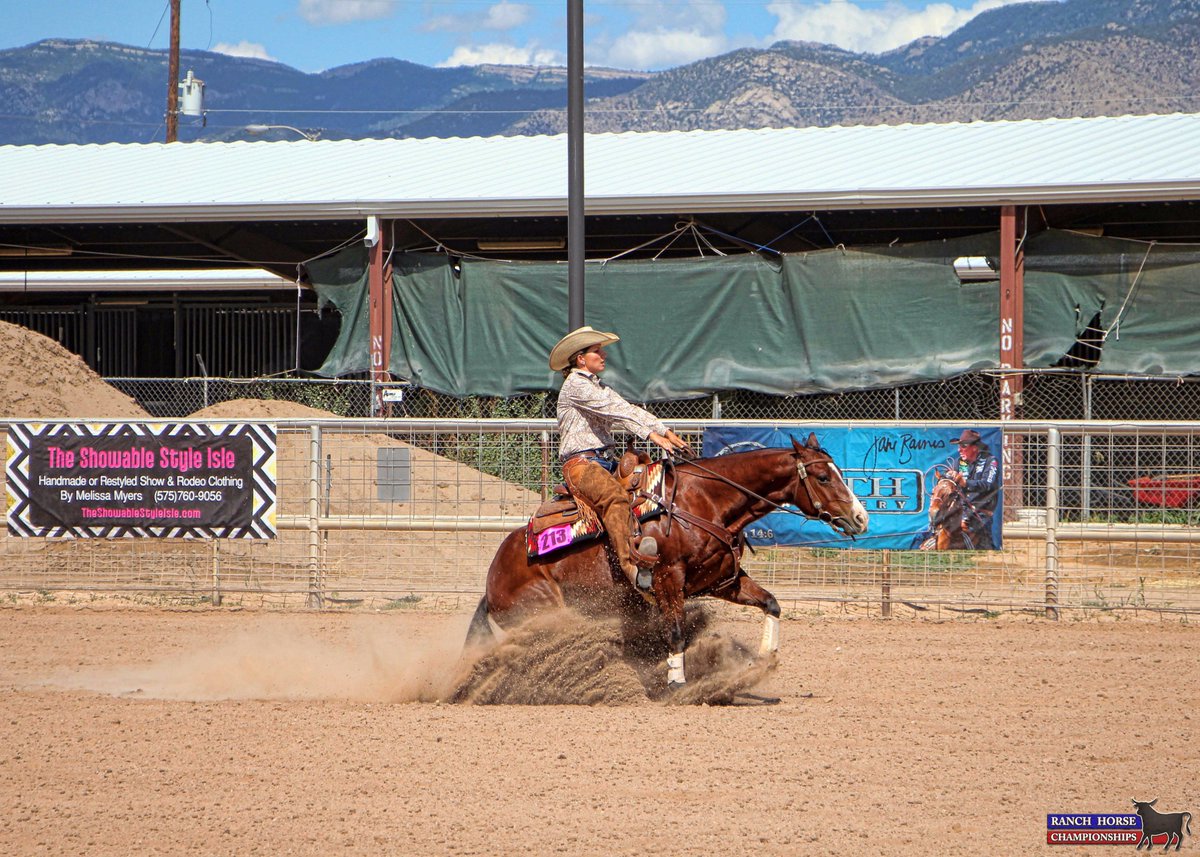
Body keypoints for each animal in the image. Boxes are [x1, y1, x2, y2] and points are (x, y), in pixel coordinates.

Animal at [465, 433, 869, 689]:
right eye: (822, 476)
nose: (861, 518)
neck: (704, 501)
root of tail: (492, 578)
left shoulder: (722, 580)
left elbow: (771, 603)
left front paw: (764, 658)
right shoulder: (667, 579)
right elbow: (675, 631)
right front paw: (677, 681)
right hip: (543, 611)